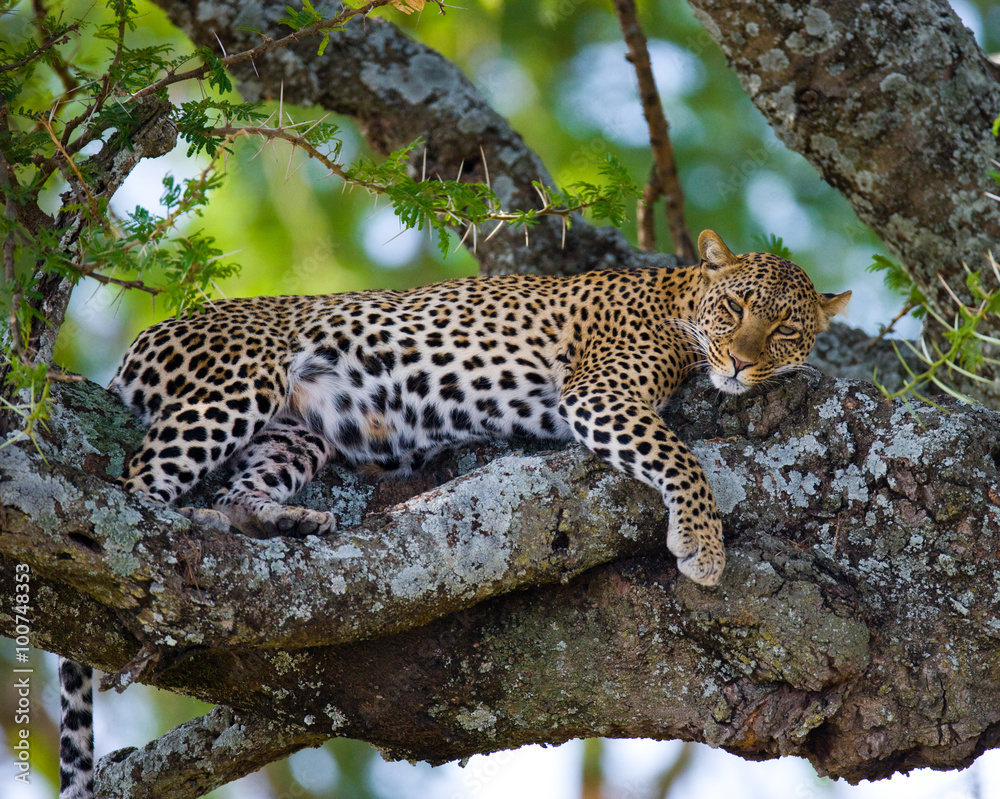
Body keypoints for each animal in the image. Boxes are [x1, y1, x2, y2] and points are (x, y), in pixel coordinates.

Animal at [108, 228, 849, 587]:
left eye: (784, 329)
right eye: (736, 308)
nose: (741, 362)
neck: (680, 301)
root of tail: (145, 338)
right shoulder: (598, 391)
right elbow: (681, 457)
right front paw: (703, 545)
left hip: (299, 430)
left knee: (234, 491)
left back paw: (280, 520)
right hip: (237, 385)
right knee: (135, 488)